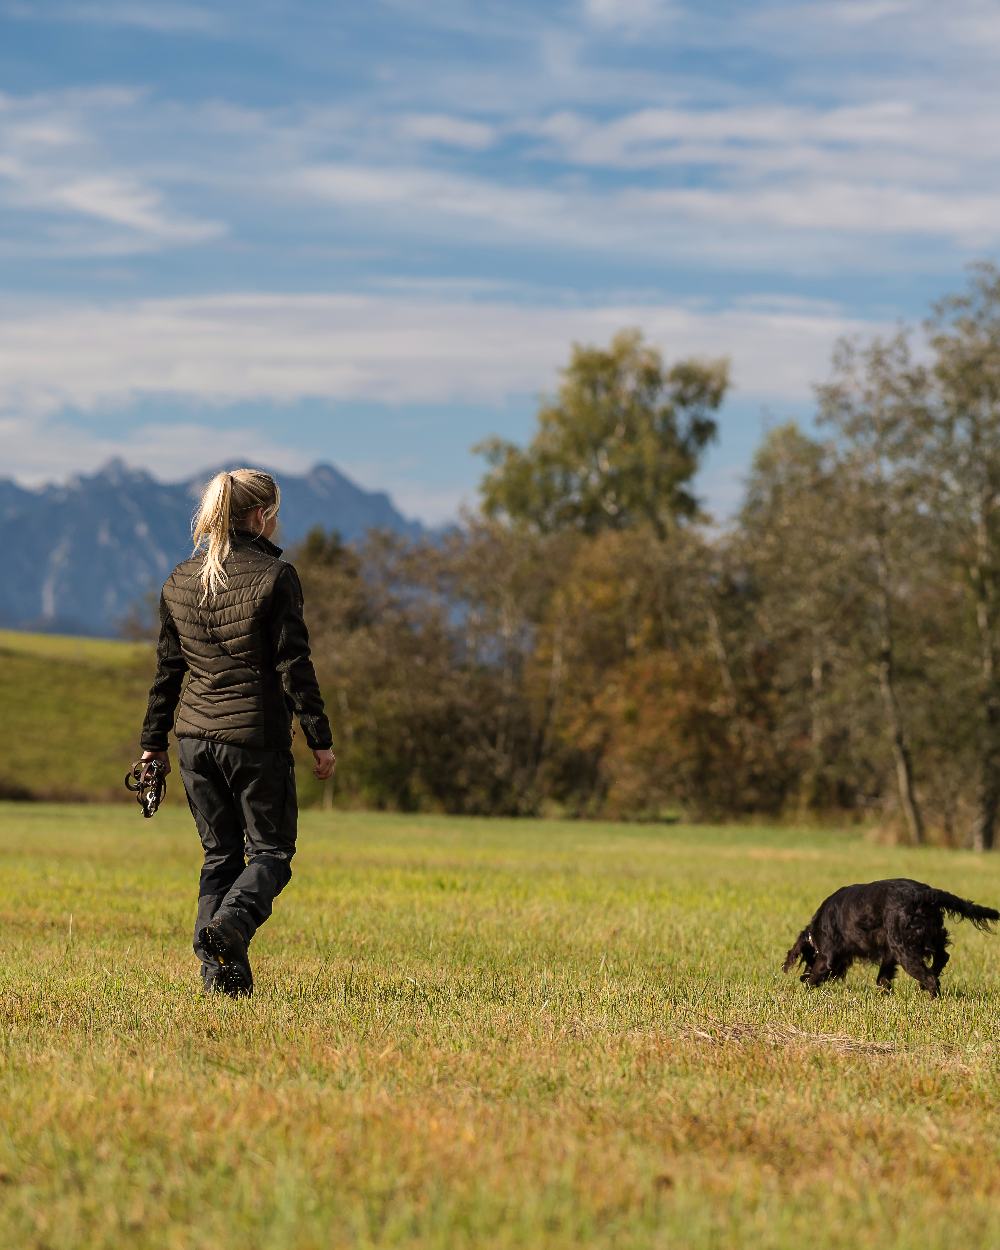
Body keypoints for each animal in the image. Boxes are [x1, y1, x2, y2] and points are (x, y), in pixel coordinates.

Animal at [785, 880, 995, 995]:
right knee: (942, 958)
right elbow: (882, 979)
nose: (801, 978)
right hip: (927, 938)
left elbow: (816, 975)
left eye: (808, 959)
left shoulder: (827, 957)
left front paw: (804, 989)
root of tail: (926, 894)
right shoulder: (889, 954)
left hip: (906, 951)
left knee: (930, 978)